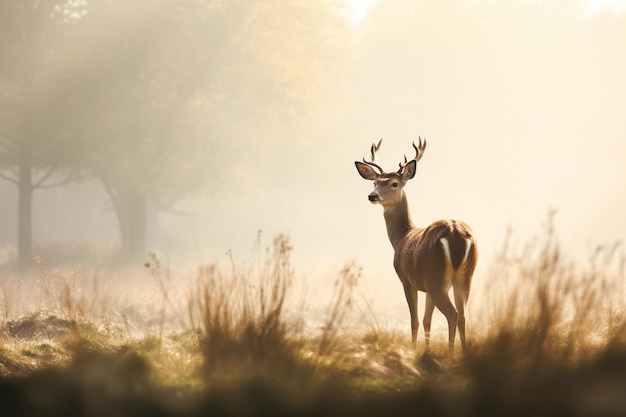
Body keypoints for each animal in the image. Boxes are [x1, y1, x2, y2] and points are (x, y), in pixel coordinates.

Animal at [354, 138, 476, 350]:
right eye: (376, 182)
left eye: (394, 183)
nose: (372, 195)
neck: (401, 237)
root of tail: (455, 232)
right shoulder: (425, 285)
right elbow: (427, 320)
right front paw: (425, 349)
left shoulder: (407, 279)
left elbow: (415, 320)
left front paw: (414, 349)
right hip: (464, 276)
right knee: (462, 316)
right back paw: (464, 352)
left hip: (436, 277)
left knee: (452, 314)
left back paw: (451, 351)